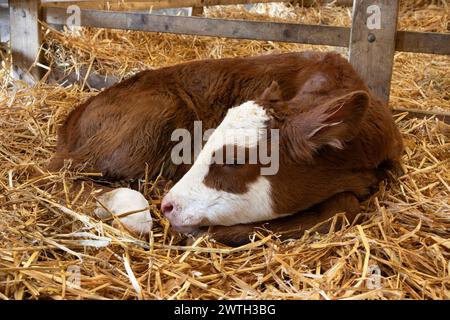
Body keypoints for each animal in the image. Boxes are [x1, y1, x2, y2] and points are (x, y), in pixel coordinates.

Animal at [48, 52, 404, 245]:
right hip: (152, 116)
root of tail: (73, 117)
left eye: (233, 160)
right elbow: (343, 208)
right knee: (58, 176)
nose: (168, 206)